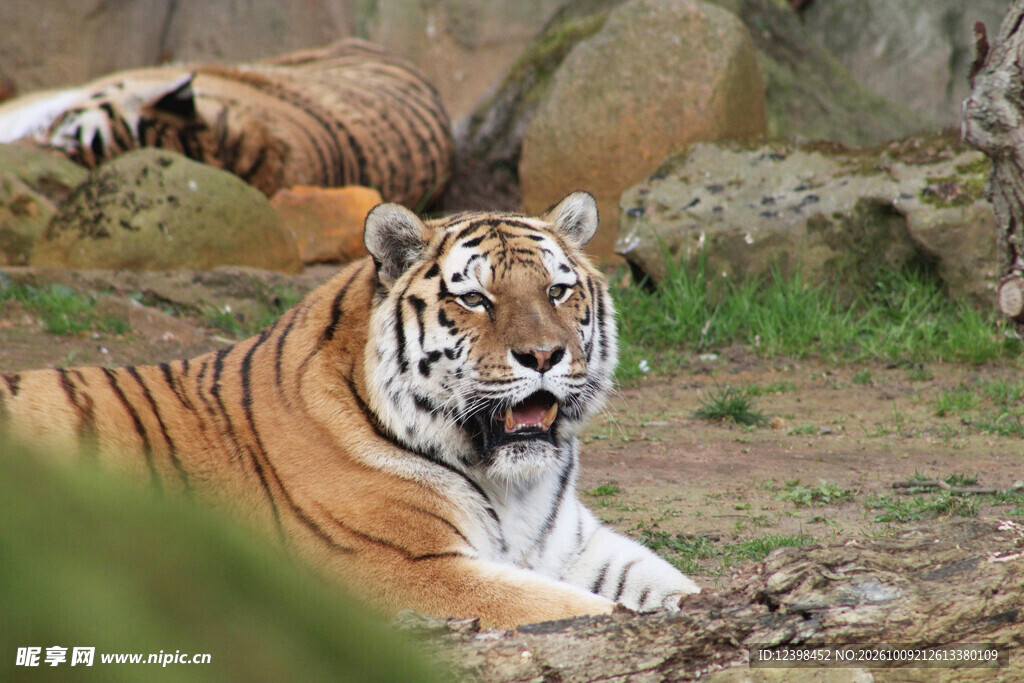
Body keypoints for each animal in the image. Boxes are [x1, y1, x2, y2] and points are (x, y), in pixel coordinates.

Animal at [0, 191, 699, 628]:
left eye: (557, 290)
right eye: (474, 299)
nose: (544, 355)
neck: (514, 487)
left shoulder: (574, 545)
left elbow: (672, 586)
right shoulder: (415, 572)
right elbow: (584, 611)